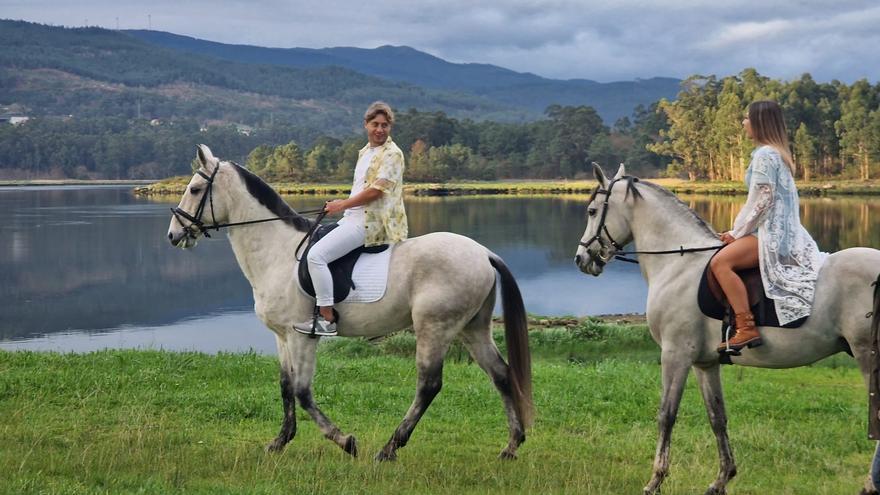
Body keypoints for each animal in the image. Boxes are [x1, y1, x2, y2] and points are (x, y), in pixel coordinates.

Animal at [168, 145, 532, 464]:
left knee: (429, 385)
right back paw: (511, 446)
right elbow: (285, 387)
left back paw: (389, 449)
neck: (278, 253)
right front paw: (280, 441)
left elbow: (302, 391)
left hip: (435, 328)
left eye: (196, 189)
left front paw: (344, 441)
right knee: (501, 374)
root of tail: (484, 253)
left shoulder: (302, 336)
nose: (173, 235)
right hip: (472, 328)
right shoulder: (282, 336)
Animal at [576, 166, 880, 495]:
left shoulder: (675, 354)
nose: (581, 259)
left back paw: (869, 485)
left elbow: (666, 415)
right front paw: (721, 479)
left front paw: (655, 480)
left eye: (592, 211)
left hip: (866, 354)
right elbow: (717, 417)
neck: (678, 263)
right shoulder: (705, 363)